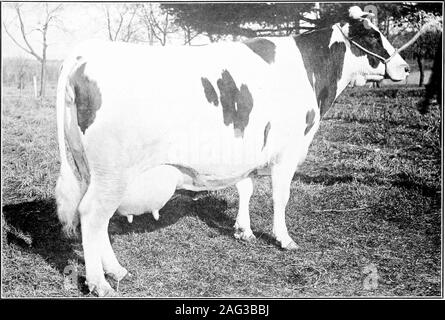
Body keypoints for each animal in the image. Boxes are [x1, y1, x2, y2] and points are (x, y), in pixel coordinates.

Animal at [55, 6, 410, 296]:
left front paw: (244, 230)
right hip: (112, 172)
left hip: (92, 171)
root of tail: (84, 53)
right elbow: (281, 196)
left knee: (95, 218)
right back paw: (100, 282)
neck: (307, 70)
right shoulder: (287, 150)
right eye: (373, 35)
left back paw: (115, 270)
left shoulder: (247, 151)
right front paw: (284, 239)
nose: (405, 68)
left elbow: (246, 188)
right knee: (92, 215)